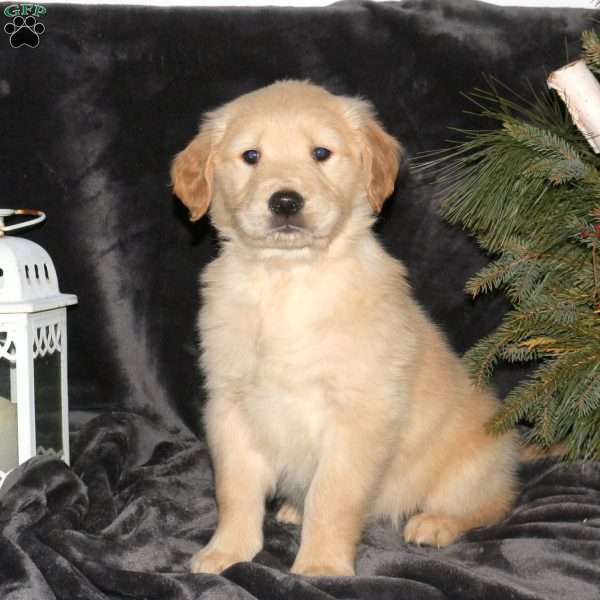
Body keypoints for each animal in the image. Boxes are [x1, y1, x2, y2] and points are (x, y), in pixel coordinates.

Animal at [171, 79, 516, 576]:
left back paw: (435, 523)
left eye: (321, 153)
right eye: (251, 156)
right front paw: (227, 551)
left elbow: (332, 496)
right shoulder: (230, 405)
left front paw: (321, 566)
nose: (286, 201)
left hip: (469, 469)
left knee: (492, 504)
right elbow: (234, 491)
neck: (288, 279)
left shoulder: (358, 414)